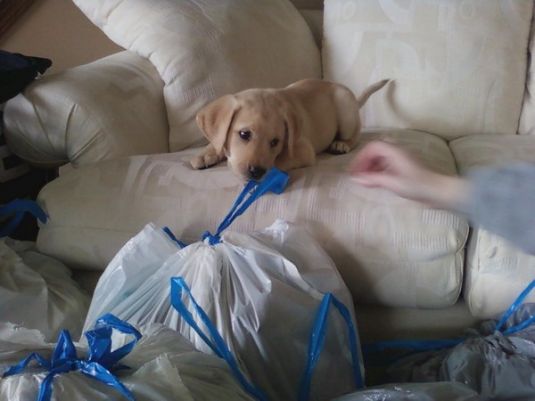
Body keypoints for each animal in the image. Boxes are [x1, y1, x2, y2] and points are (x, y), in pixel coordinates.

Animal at [191, 78, 388, 178]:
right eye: (244, 134)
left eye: (275, 142)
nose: (256, 172)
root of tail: (354, 99)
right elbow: (217, 140)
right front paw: (205, 154)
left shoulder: (303, 150)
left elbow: (279, 162)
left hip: (345, 110)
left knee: (356, 135)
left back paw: (341, 144)